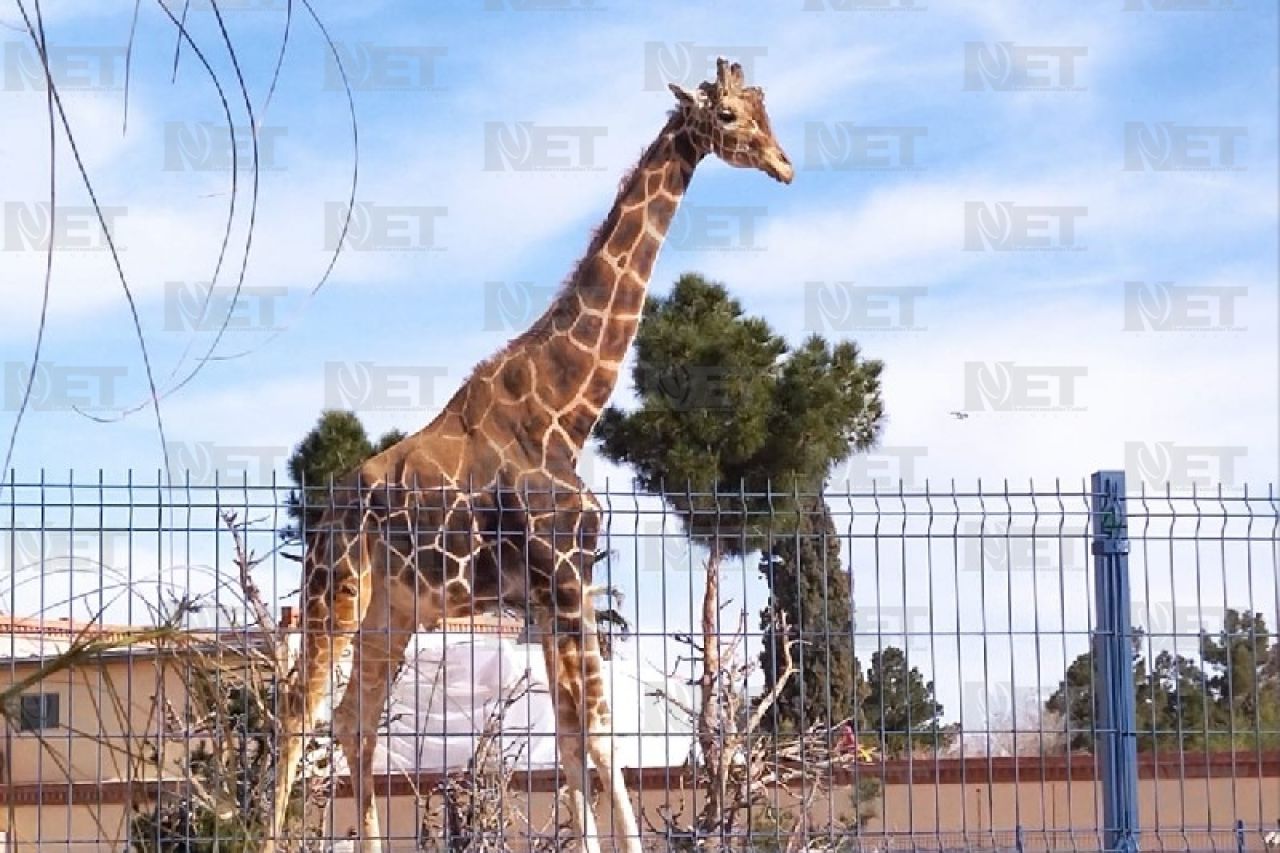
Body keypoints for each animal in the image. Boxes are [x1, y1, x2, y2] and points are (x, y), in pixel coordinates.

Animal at [268, 59, 788, 850]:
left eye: (764, 110)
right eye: (729, 115)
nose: (784, 165)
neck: (564, 409)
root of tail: (328, 512)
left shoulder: (547, 594)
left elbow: (571, 735)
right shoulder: (568, 575)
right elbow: (600, 731)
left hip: (393, 610)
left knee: (356, 719)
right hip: (340, 588)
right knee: (298, 713)